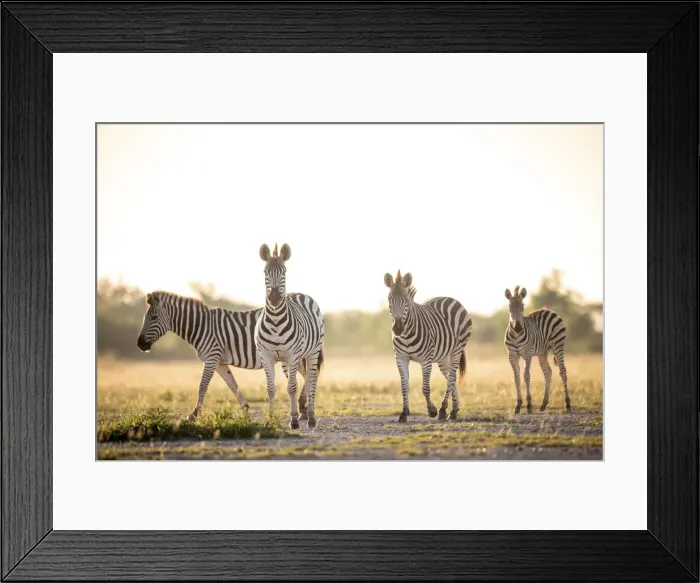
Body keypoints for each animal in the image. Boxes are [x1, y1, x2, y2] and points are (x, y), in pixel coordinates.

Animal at [136, 290, 264, 422]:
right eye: (145, 317)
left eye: (154, 317)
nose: (139, 344)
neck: (202, 327)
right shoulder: (219, 362)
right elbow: (233, 385)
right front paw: (246, 412)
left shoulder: (212, 357)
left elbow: (202, 386)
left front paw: (194, 414)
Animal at [255, 243, 325, 430]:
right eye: (265, 272)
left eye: (284, 272)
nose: (274, 298)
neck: (275, 321)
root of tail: (299, 293)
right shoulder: (266, 356)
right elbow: (271, 388)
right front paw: (270, 420)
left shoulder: (293, 355)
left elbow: (292, 387)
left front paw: (294, 421)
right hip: (288, 361)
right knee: (302, 379)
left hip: (312, 352)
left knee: (311, 380)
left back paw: (311, 418)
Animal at [384, 270, 472, 423]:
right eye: (390, 300)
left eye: (406, 301)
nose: (398, 329)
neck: (406, 335)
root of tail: (450, 298)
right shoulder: (401, 358)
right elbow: (404, 387)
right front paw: (404, 413)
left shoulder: (426, 360)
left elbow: (425, 388)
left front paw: (432, 410)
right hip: (443, 357)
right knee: (451, 378)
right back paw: (453, 411)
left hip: (457, 349)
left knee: (451, 378)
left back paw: (443, 410)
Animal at [504, 285, 571, 414]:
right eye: (510, 308)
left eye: (522, 308)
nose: (518, 328)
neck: (516, 336)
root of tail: (550, 311)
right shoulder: (512, 355)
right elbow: (516, 377)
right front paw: (518, 405)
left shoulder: (527, 354)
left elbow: (526, 376)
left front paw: (529, 406)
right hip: (542, 352)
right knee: (548, 372)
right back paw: (543, 404)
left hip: (558, 345)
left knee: (563, 371)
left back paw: (568, 405)